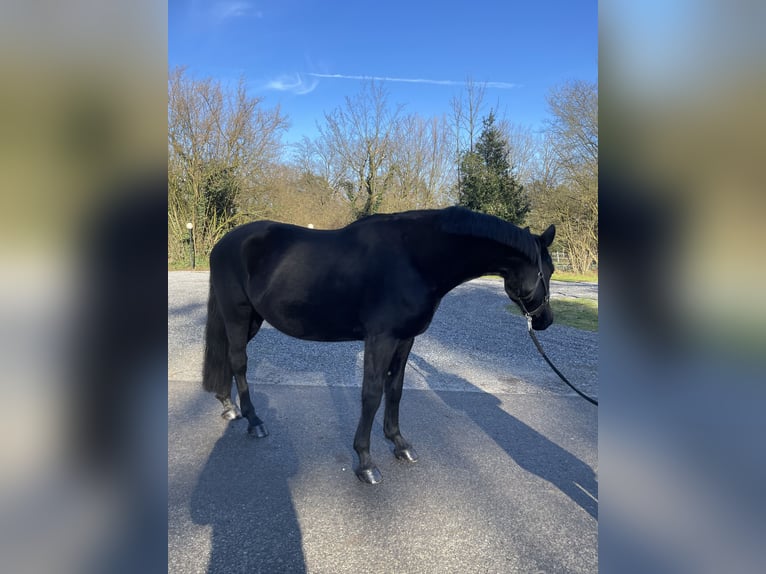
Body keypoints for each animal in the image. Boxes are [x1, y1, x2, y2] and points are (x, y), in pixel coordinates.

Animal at [201, 207, 556, 486]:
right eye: (546, 271)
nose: (545, 321)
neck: (414, 259)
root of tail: (222, 244)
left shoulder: (405, 339)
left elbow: (395, 389)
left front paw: (400, 444)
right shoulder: (380, 339)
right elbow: (371, 395)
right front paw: (366, 462)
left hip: (252, 320)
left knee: (227, 358)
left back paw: (228, 405)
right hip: (237, 316)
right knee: (239, 362)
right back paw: (254, 421)